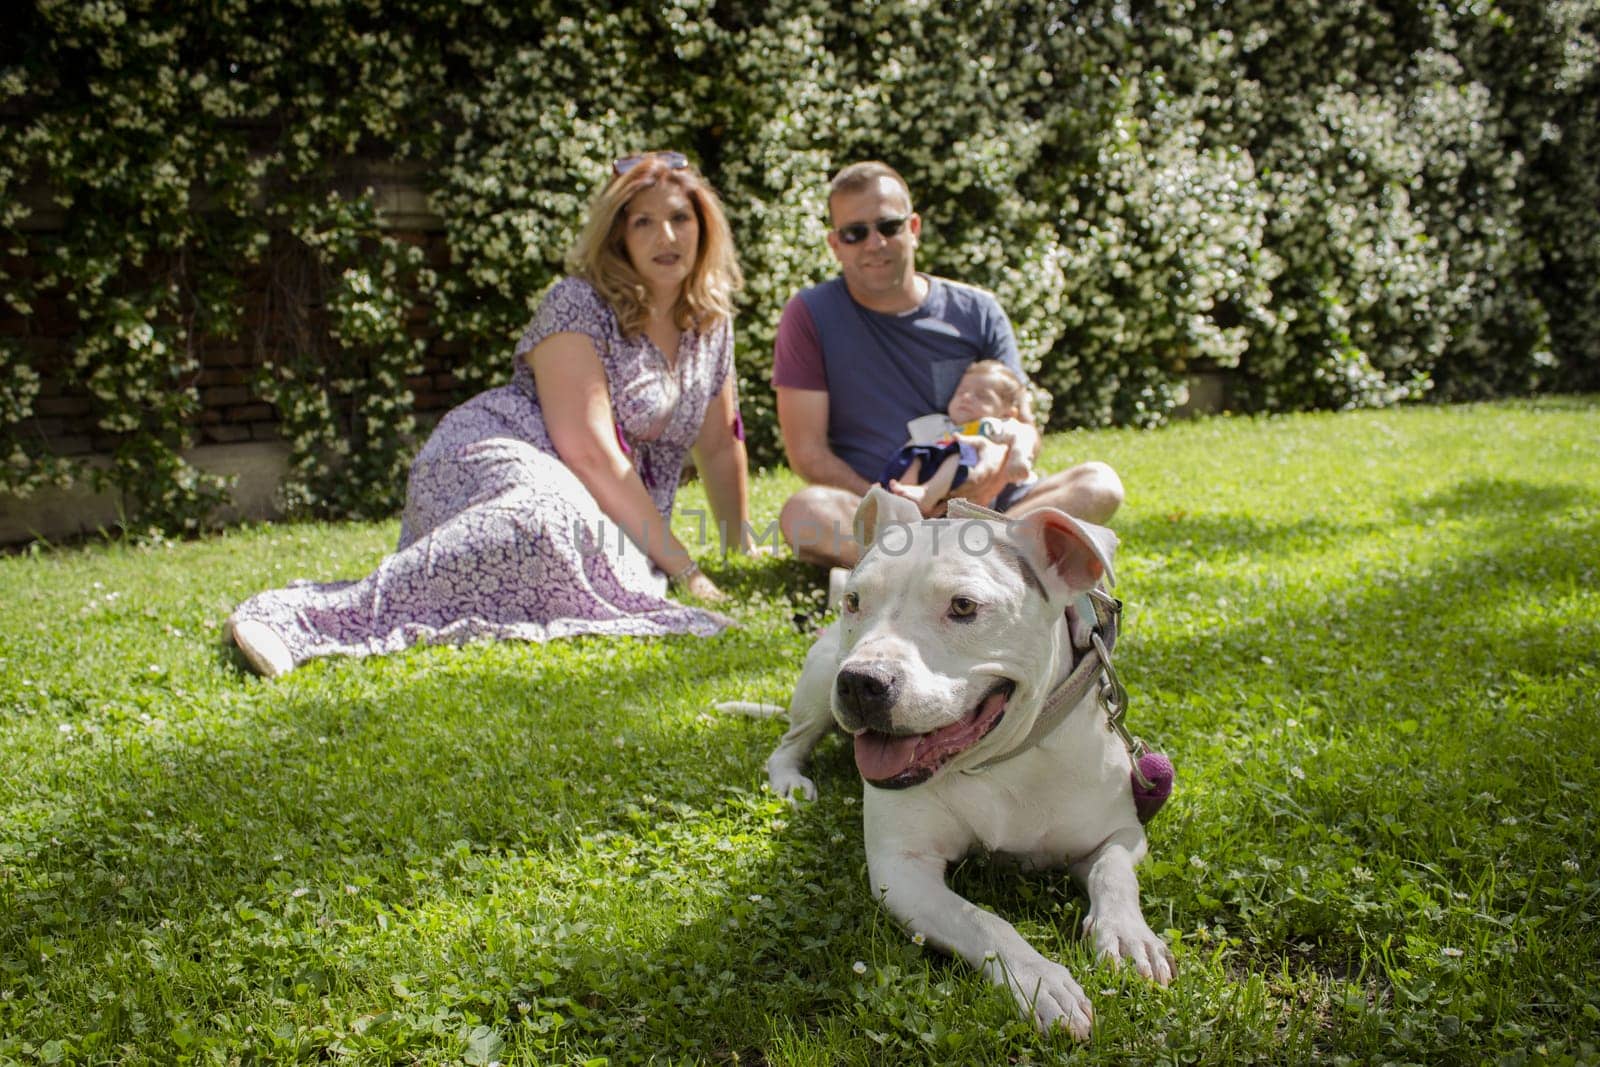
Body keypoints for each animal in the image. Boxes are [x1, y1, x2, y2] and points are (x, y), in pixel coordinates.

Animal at [729, 489, 1177, 1036]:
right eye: (854, 601)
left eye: (963, 606)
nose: (860, 681)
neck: (997, 761)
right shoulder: (902, 870)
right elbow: (983, 920)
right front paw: (1041, 980)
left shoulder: (1122, 832)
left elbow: (1113, 873)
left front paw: (1129, 936)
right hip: (817, 689)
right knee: (789, 742)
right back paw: (791, 781)